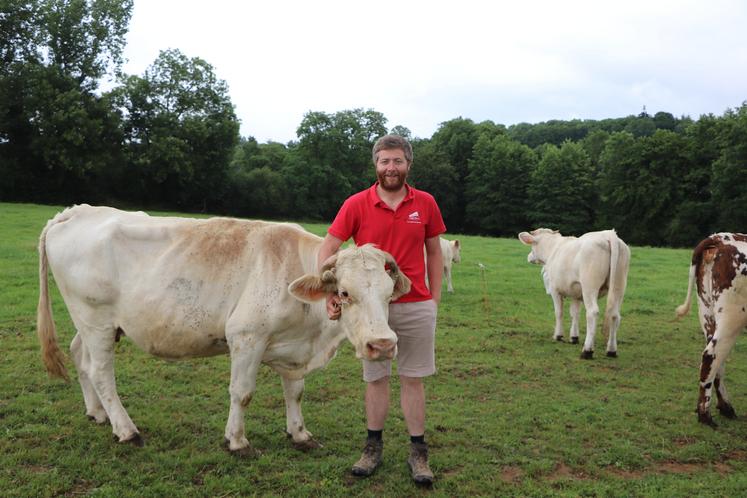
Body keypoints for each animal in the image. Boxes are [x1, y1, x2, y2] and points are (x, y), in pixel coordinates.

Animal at [38, 204, 412, 454]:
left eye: (388, 293)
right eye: (345, 293)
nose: (382, 345)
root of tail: (77, 212)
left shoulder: (294, 348)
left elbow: (295, 392)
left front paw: (300, 434)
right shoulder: (246, 337)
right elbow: (242, 392)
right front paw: (237, 441)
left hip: (90, 323)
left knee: (80, 357)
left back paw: (97, 414)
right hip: (95, 319)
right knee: (101, 373)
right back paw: (126, 430)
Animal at [520, 230, 632, 358]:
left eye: (532, 246)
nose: (529, 256)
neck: (553, 249)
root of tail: (608, 234)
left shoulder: (555, 290)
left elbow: (559, 312)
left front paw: (558, 335)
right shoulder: (576, 293)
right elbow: (575, 313)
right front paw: (574, 337)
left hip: (589, 286)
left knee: (592, 312)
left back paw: (587, 351)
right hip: (619, 285)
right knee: (614, 315)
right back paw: (611, 350)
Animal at [676, 233, 747, 428]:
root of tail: (720, 238)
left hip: (707, 314)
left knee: (717, 360)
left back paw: (725, 407)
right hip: (732, 317)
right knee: (711, 355)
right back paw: (705, 415)